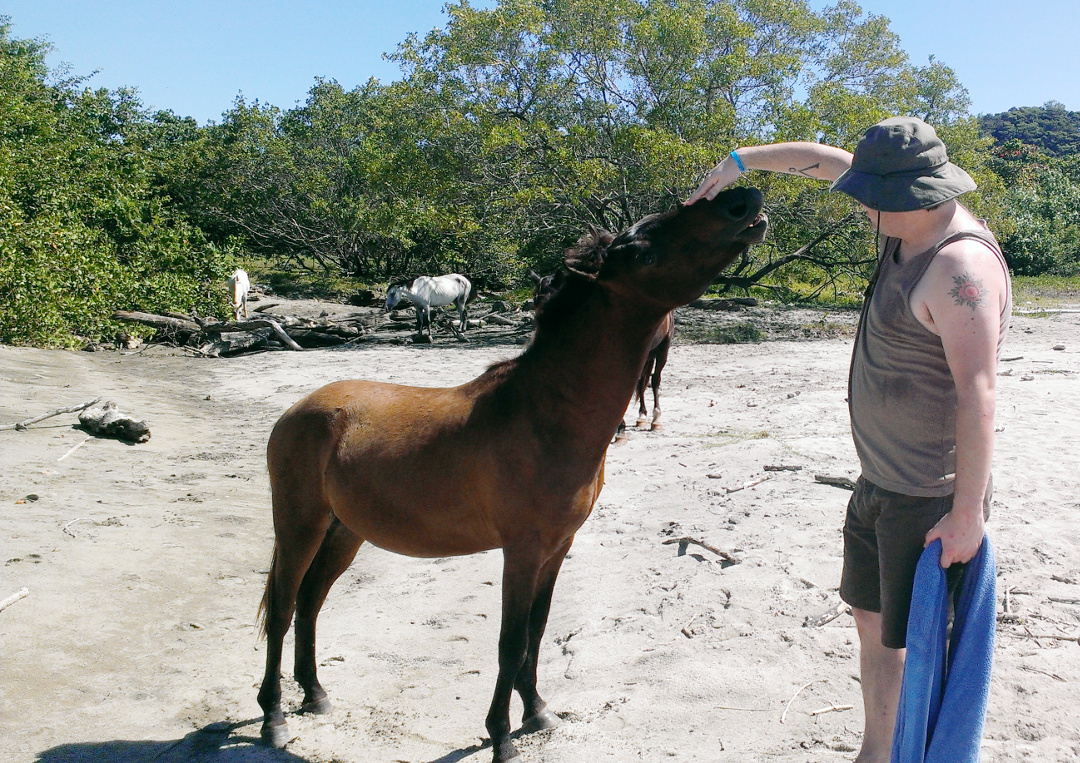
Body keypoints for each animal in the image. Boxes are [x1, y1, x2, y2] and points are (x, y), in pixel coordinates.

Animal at [257, 187, 767, 762]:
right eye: (642, 252)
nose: (741, 200)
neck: (546, 417)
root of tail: (299, 410)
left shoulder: (557, 547)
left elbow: (537, 632)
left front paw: (537, 711)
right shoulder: (521, 550)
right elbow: (510, 641)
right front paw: (501, 735)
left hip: (345, 531)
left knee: (310, 601)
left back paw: (315, 695)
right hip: (299, 525)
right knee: (282, 607)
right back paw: (274, 717)